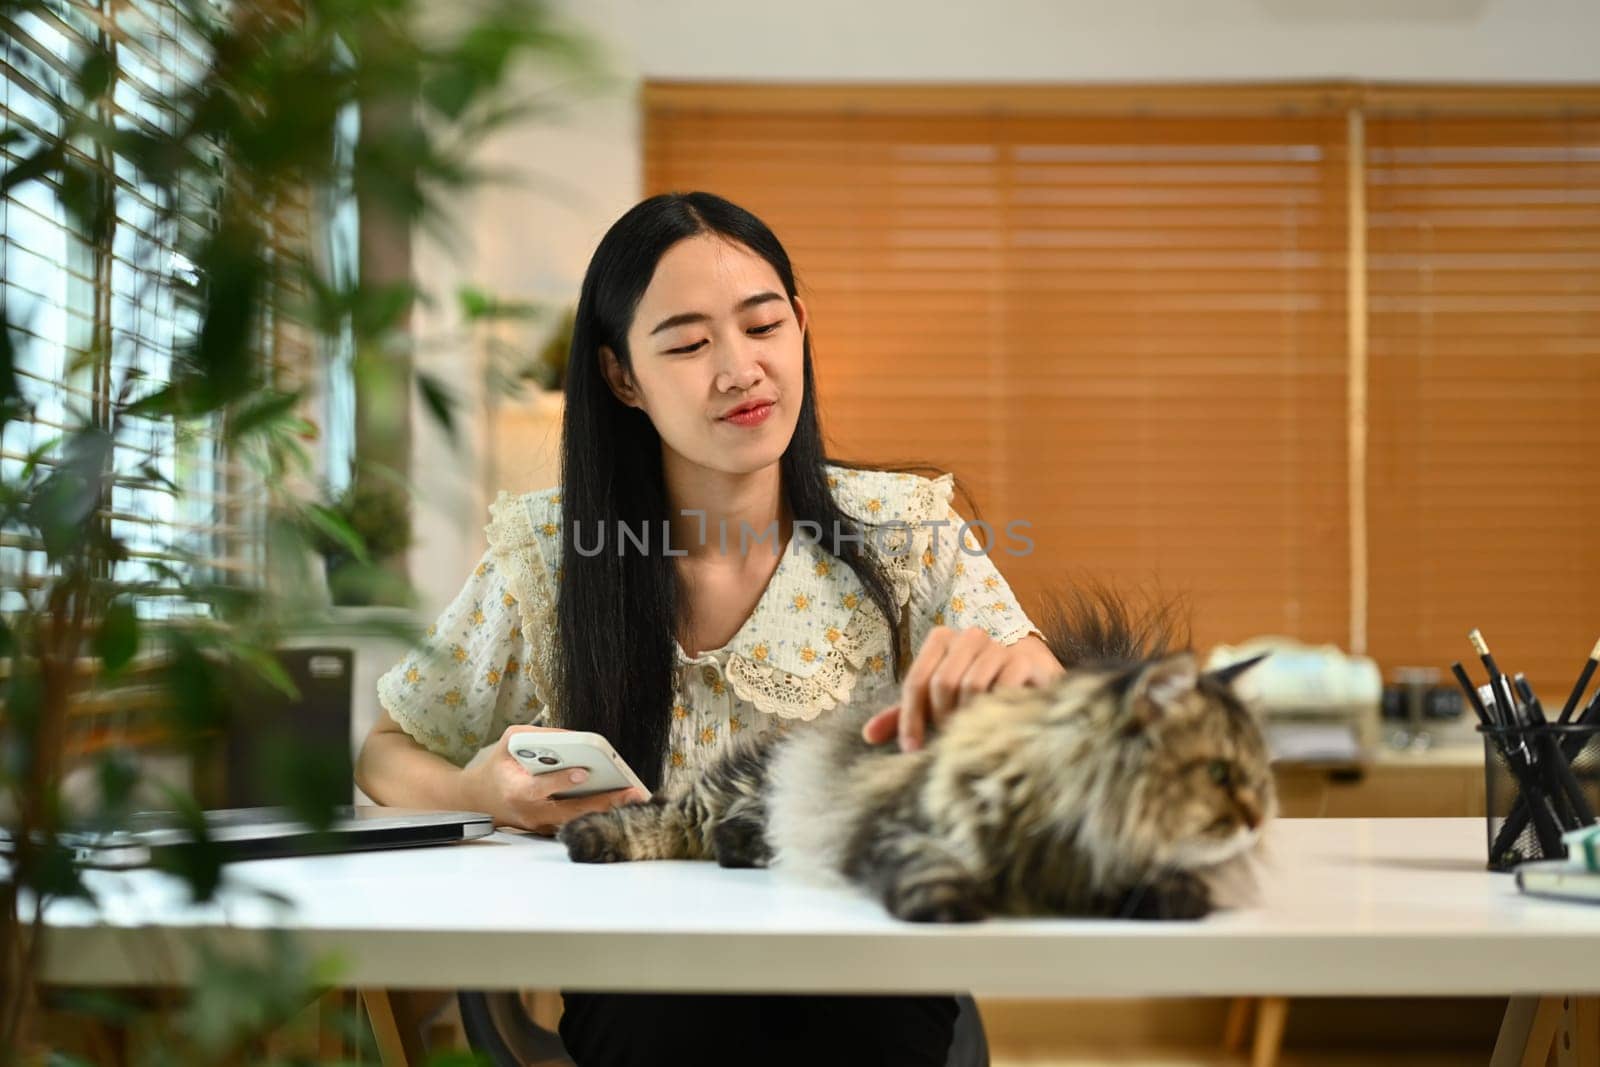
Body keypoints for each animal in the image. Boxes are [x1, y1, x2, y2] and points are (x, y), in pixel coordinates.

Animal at [563, 588, 1273, 921]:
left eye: (1260, 778)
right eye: (1218, 772)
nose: (1257, 816)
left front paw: (1180, 898)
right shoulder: (904, 823)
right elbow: (928, 869)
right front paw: (953, 910)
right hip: (739, 788)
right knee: (665, 815)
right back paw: (588, 836)